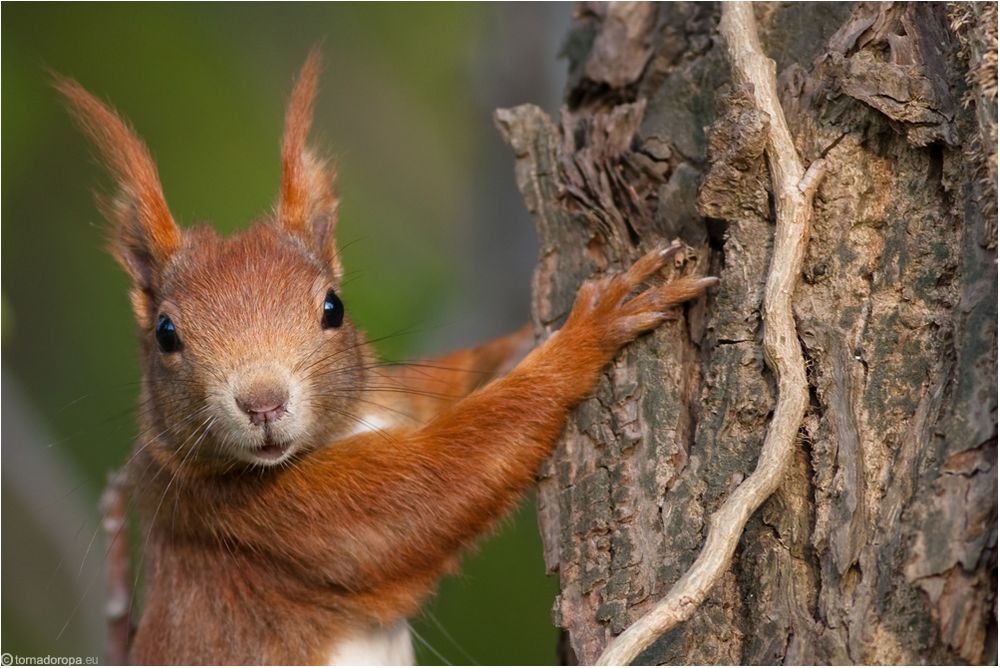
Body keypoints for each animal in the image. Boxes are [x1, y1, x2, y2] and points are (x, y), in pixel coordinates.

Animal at [58, 52, 720, 664]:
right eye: (166, 333)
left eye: (333, 307)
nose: (262, 402)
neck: (337, 433)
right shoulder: (270, 523)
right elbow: (431, 490)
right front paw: (592, 329)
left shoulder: (396, 396)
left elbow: (462, 380)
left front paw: (532, 335)